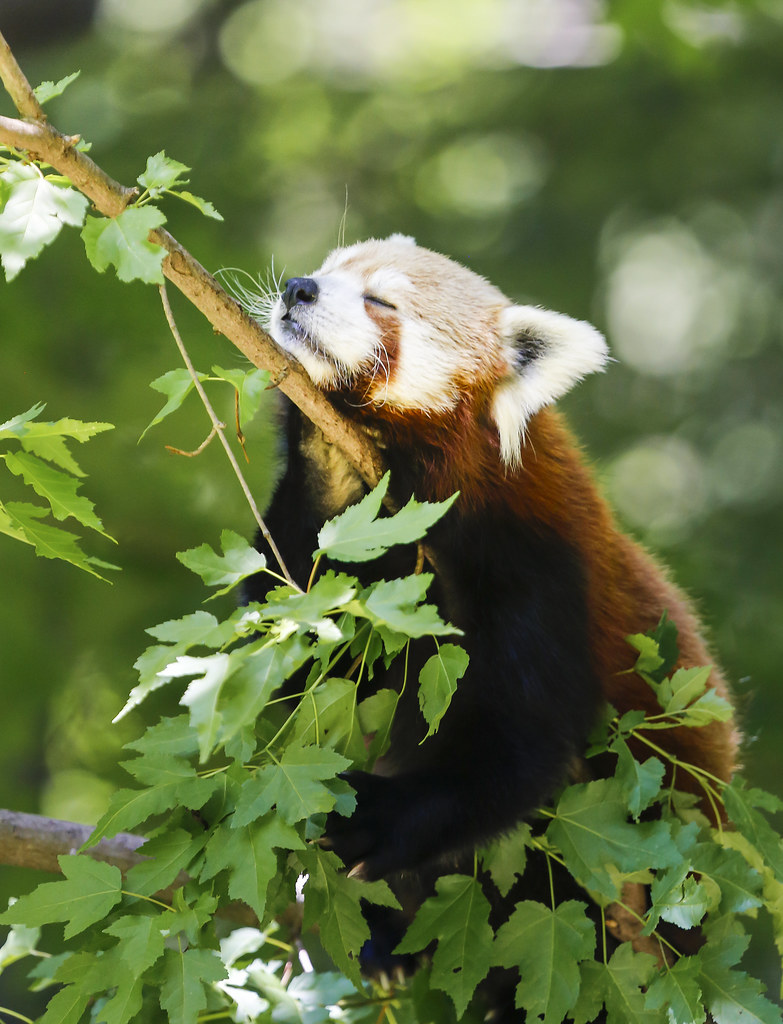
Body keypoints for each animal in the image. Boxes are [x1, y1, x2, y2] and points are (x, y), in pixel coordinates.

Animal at [243, 234, 739, 1013]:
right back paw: (388, 944)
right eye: (327, 270)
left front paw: (376, 818)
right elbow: (298, 641)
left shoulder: (537, 563)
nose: (298, 289)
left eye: (381, 302)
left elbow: (517, 744)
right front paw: (321, 450)